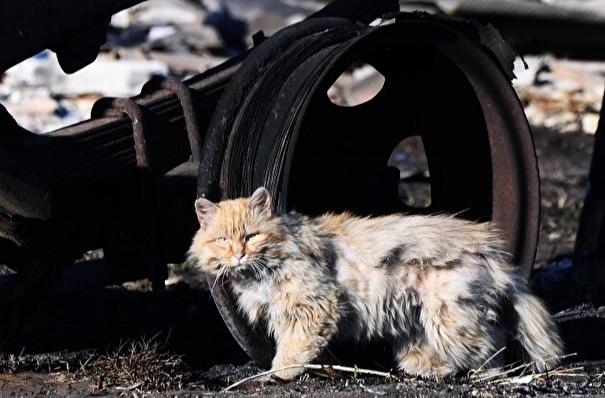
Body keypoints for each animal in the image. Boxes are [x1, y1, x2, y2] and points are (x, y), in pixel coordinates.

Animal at [189, 187, 560, 380]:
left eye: (251, 236)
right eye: (222, 240)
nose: (238, 254)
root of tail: (488, 248)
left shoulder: (313, 309)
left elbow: (291, 352)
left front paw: (275, 376)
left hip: (449, 318)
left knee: (492, 343)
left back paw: (477, 375)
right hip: (419, 319)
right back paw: (428, 368)